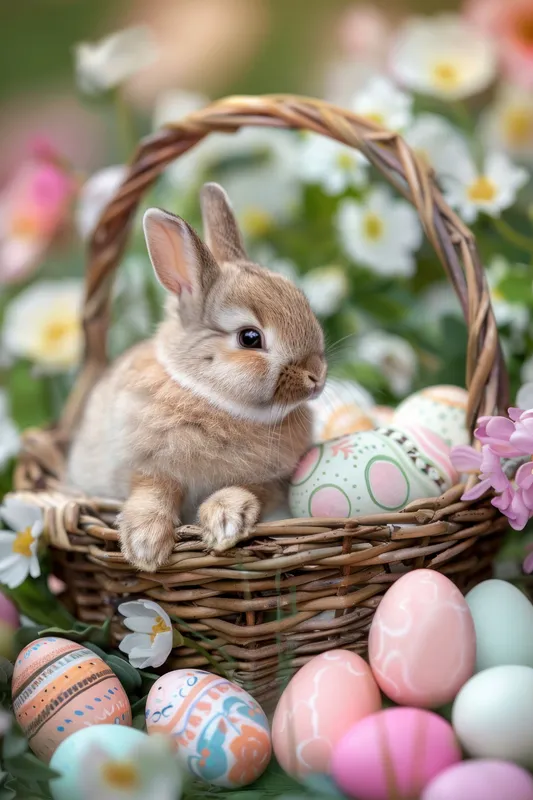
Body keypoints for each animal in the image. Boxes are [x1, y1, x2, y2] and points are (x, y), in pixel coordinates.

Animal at [66, 182, 327, 572]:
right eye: (250, 338)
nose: (317, 376)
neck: (212, 401)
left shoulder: (272, 482)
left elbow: (247, 489)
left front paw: (226, 523)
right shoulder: (145, 466)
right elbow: (152, 490)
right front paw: (144, 546)